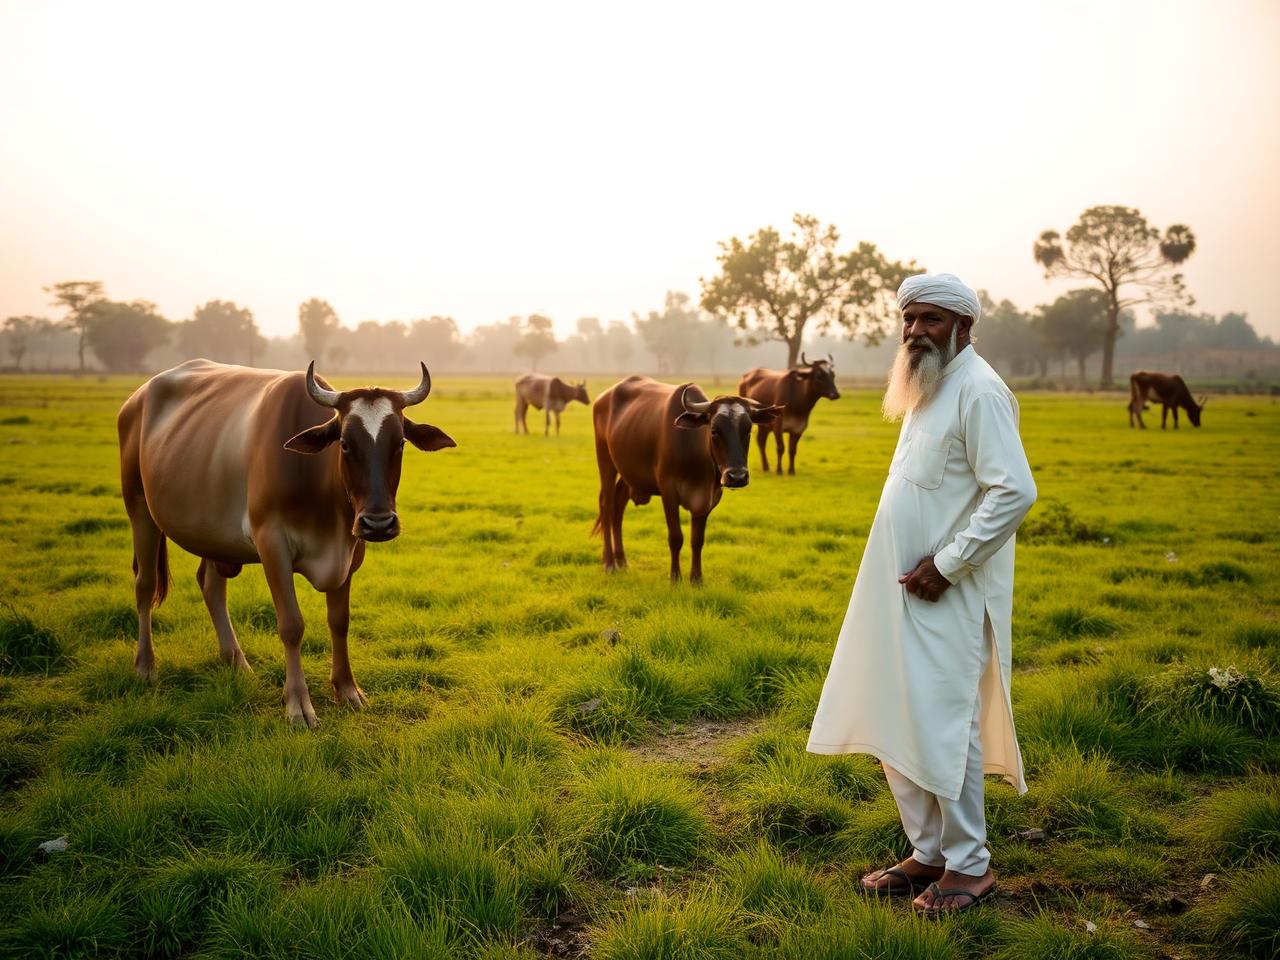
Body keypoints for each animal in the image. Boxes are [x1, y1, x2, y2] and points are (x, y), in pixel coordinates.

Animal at [117, 358, 455, 726]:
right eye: (345, 444)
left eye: (400, 444)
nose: (378, 523)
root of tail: (137, 398)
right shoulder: (271, 543)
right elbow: (292, 624)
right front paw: (298, 704)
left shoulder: (350, 551)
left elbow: (340, 621)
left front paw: (347, 689)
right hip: (139, 507)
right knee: (145, 585)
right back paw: (145, 666)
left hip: (212, 534)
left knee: (210, 585)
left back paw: (236, 662)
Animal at [591, 376, 781, 583]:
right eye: (714, 430)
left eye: (748, 429)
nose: (737, 477)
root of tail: (603, 398)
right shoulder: (668, 493)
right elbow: (676, 537)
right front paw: (675, 577)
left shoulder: (708, 498)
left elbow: (697, 540)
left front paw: (696, 578)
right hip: (606, 461)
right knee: (607, 506)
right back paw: (609, 563)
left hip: (628, 474)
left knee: (618, 507)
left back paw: (622, 561)